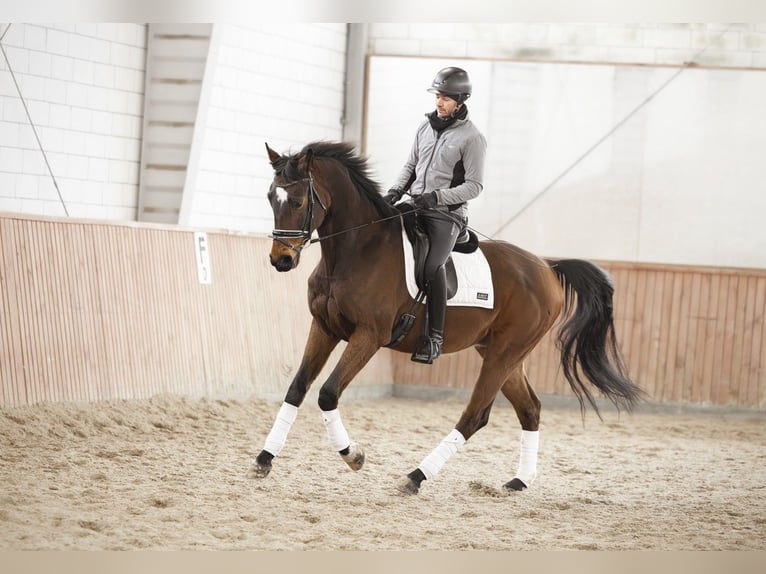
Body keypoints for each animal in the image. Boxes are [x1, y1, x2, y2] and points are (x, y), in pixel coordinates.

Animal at [250, 140, 645, 494]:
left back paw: (416, 477)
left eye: (298, 201)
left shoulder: (369, 336)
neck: (355, 251)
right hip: (501, 353)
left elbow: (328, 393)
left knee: (475, 416)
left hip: (503, 354)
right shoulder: (324, 328)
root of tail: (547, 267)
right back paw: (519, 481)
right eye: (271, 197)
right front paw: (264, 459)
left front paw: (354, 456)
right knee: (529, 408)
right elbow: (297, 389)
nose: (281, 260)